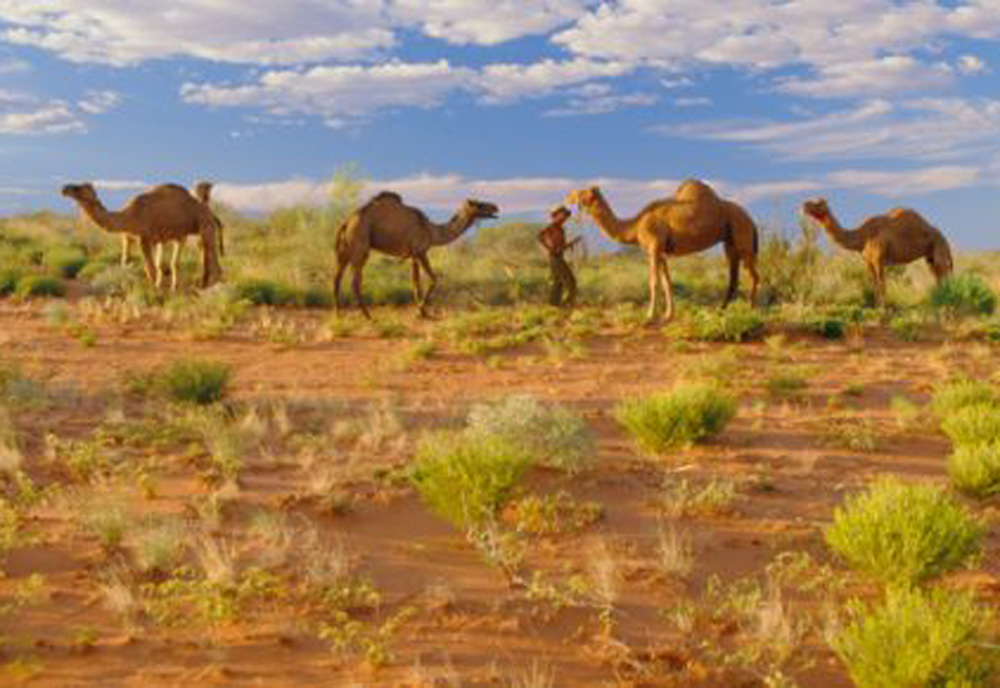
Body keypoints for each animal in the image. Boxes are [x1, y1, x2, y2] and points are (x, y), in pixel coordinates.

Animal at [62, 182, 222, 291]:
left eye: (78, 188)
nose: (64, 188)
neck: (127, 216)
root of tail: (212, 214)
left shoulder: (144, 238)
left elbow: (149, 268)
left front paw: (153, 292)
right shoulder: (127, 238)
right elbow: (125, 263)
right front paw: (123, 288)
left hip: (205, 225)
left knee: (212, 257)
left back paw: (212, 287)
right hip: (182, 234)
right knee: (186, 258)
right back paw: (184, 287)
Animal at [334, 191, 499, 319]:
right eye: (479, 204)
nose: (495, 206)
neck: (432, 231)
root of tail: (347, 222)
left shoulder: (413, 256)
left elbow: (415, 282)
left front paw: (421, 311)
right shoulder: (421, 251)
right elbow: (433, 279)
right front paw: (422, 310)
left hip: (344, 250)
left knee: (336, 279)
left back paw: (338, 314)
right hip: (360, 245)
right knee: (354, 282)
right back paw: (368, 316)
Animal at [565, 180, 759, 323]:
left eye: (581, 193)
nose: (568, 196)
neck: (634, 226)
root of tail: (751, 218)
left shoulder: (654, 247)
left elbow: (654, 282)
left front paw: (650, 316)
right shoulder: (662, 252)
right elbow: (667, 282)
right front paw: (668, 315)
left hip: (742, 234)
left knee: (753, 275)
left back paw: (751, 309)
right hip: (730, 242)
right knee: (734, 277)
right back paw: (722, 310)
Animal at [801, 198, 953, 305]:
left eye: (818, 203)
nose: (803, 205)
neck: (862, 236)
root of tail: (944, 237)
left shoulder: (879, 259)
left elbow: (882, 285)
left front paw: (884, 308)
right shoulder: (868, 262)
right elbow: (874, 285)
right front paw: (877, 306)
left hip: (939, 247)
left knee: (943, 273)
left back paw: (945, 299)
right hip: (930, 257)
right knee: (938, 276)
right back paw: (939, 299)